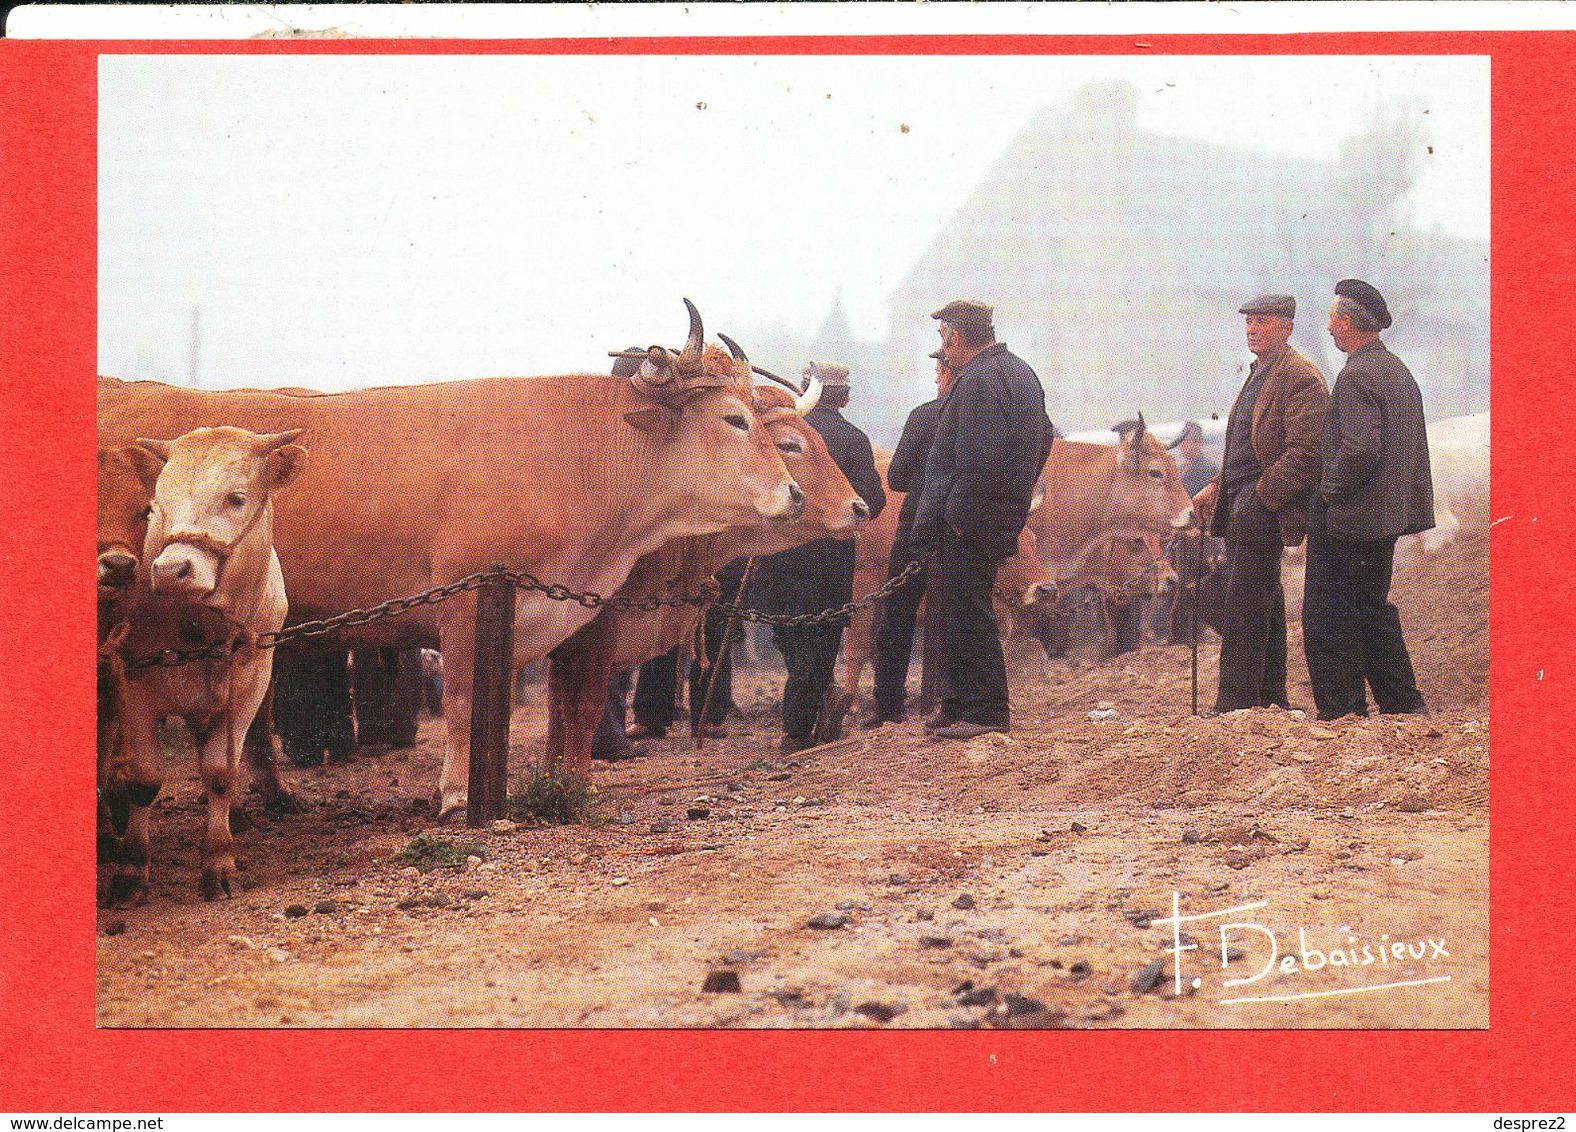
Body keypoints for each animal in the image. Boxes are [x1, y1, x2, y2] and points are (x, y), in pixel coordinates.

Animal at [101, 296, 800, 819]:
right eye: (735, 420)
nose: (792, 494)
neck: (569, 454)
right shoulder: (468, 602)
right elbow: (465, 702)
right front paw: (459, 797)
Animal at [102, 425, 307, 901]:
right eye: (157, 505)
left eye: (236, 497)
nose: (171, 570)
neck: (198, 623)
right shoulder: (134, 682)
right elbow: (144, 778)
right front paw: (132, 869)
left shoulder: (249, 682)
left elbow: (219, 772)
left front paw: (218, 861)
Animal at [538, 356, 863, 781]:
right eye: (790, 445)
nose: (860, 507)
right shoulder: (590, 631)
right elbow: (580, 707)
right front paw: (573, 779)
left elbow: (558, 709)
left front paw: (553, 773)